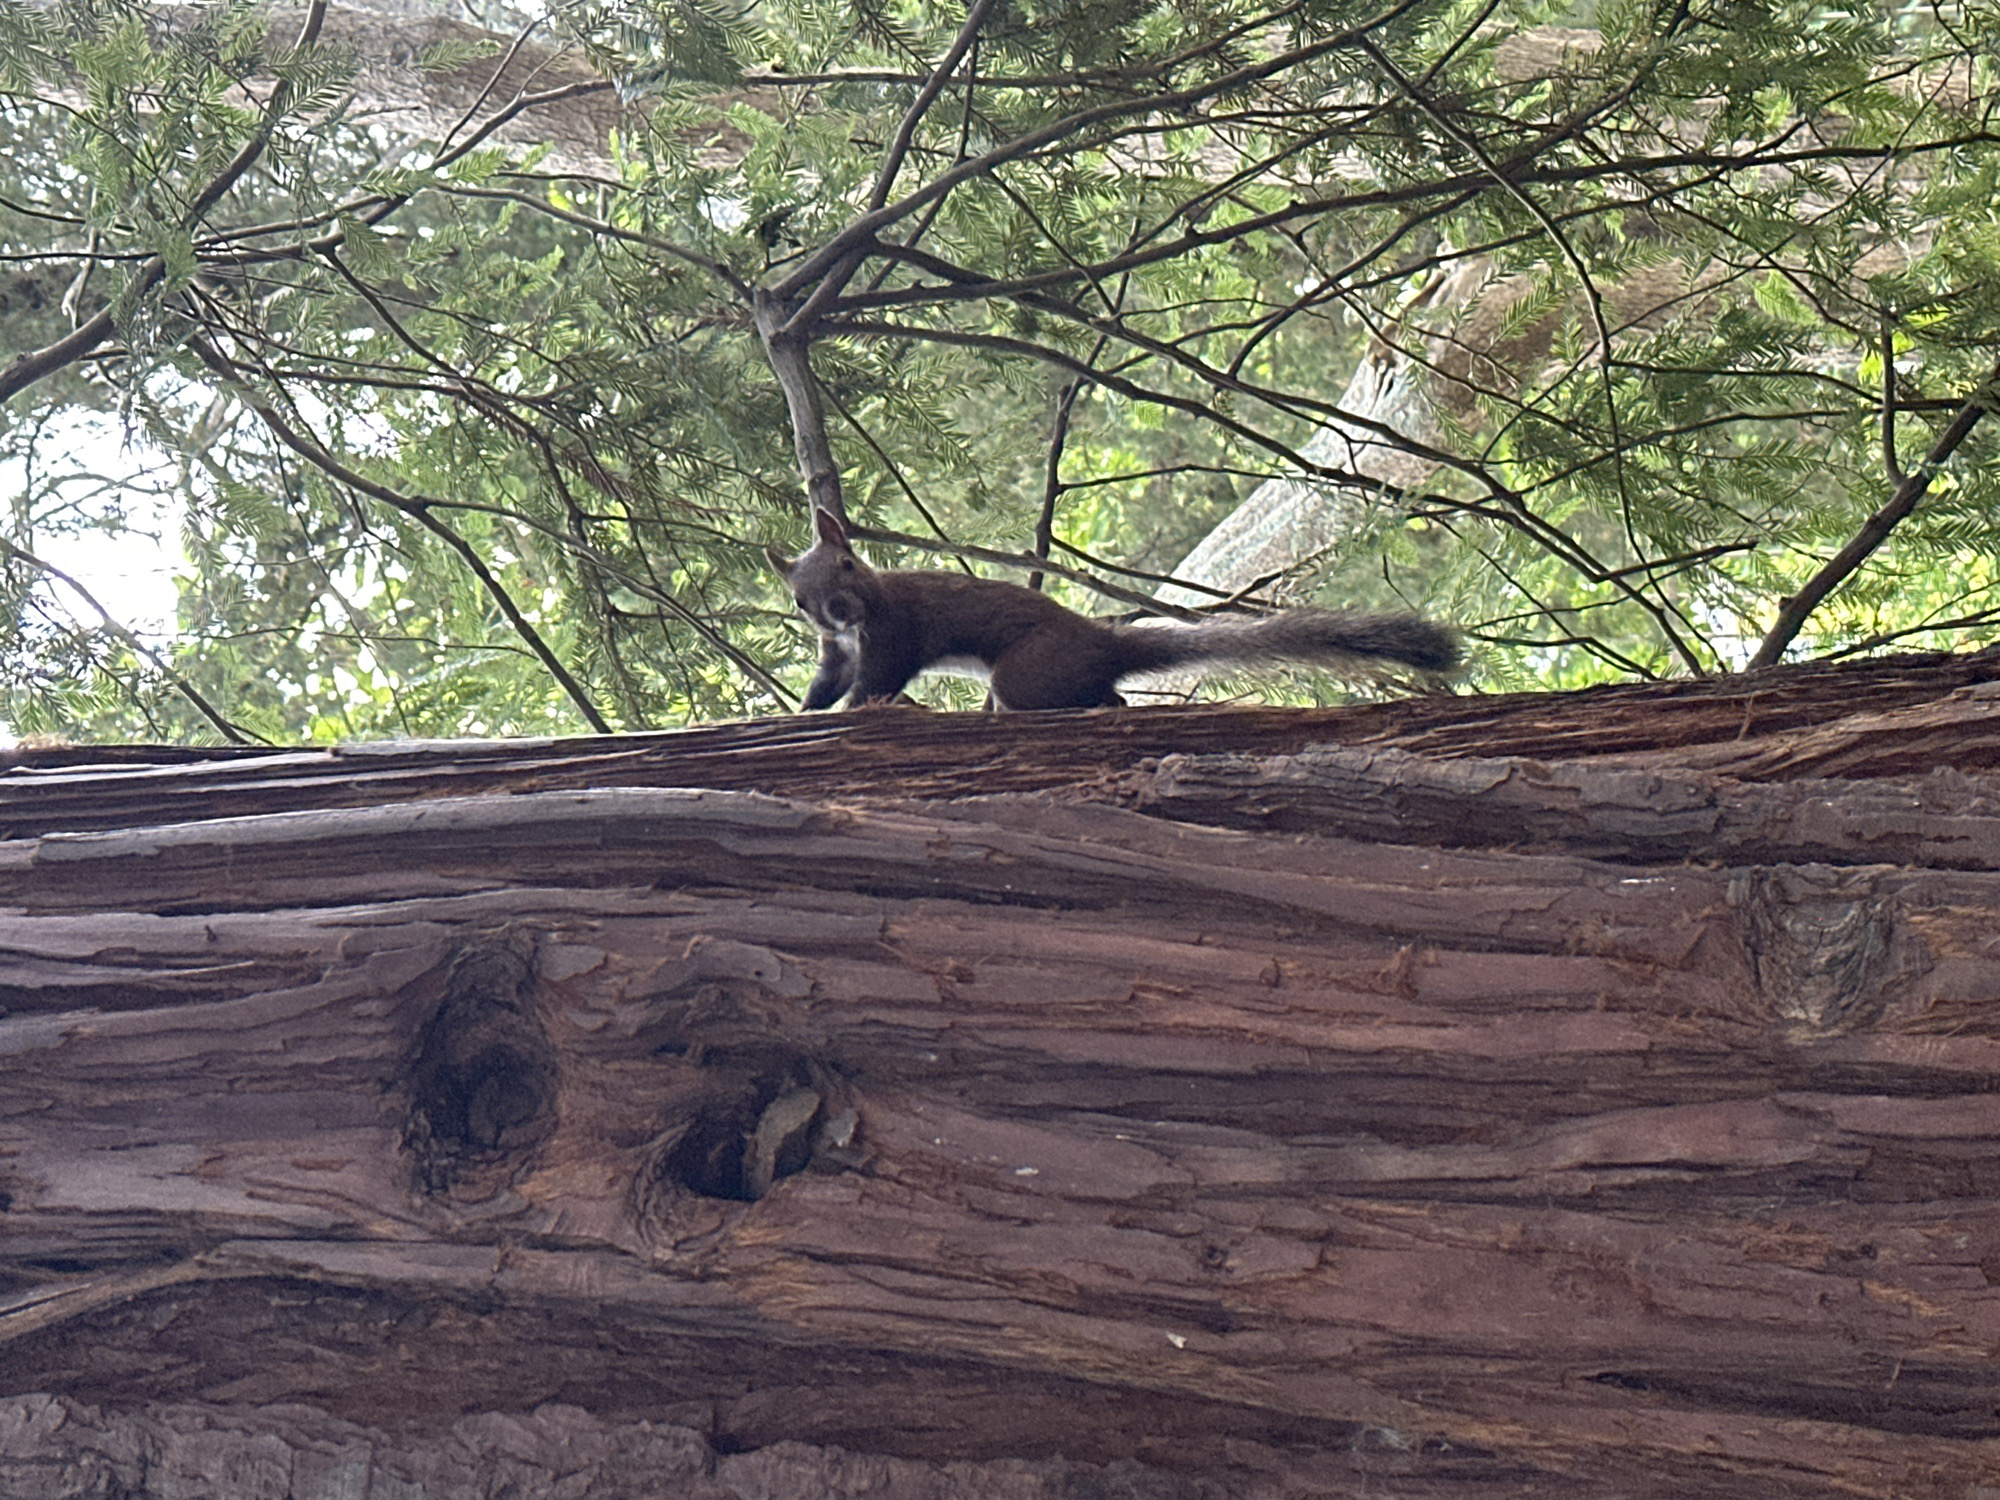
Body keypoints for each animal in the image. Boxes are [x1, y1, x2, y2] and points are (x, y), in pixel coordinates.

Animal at [766, 508, 1461, 711]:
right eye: (800, 602)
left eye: (848, 563)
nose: (838, 608)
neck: (865, 618)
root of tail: (1103, 641)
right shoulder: (836, 651)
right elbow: (825, 686)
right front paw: (805, 710)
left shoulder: (894, 636)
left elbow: (875, 684)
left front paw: (864, 708)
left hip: (1024, 673)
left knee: (1096, 697)